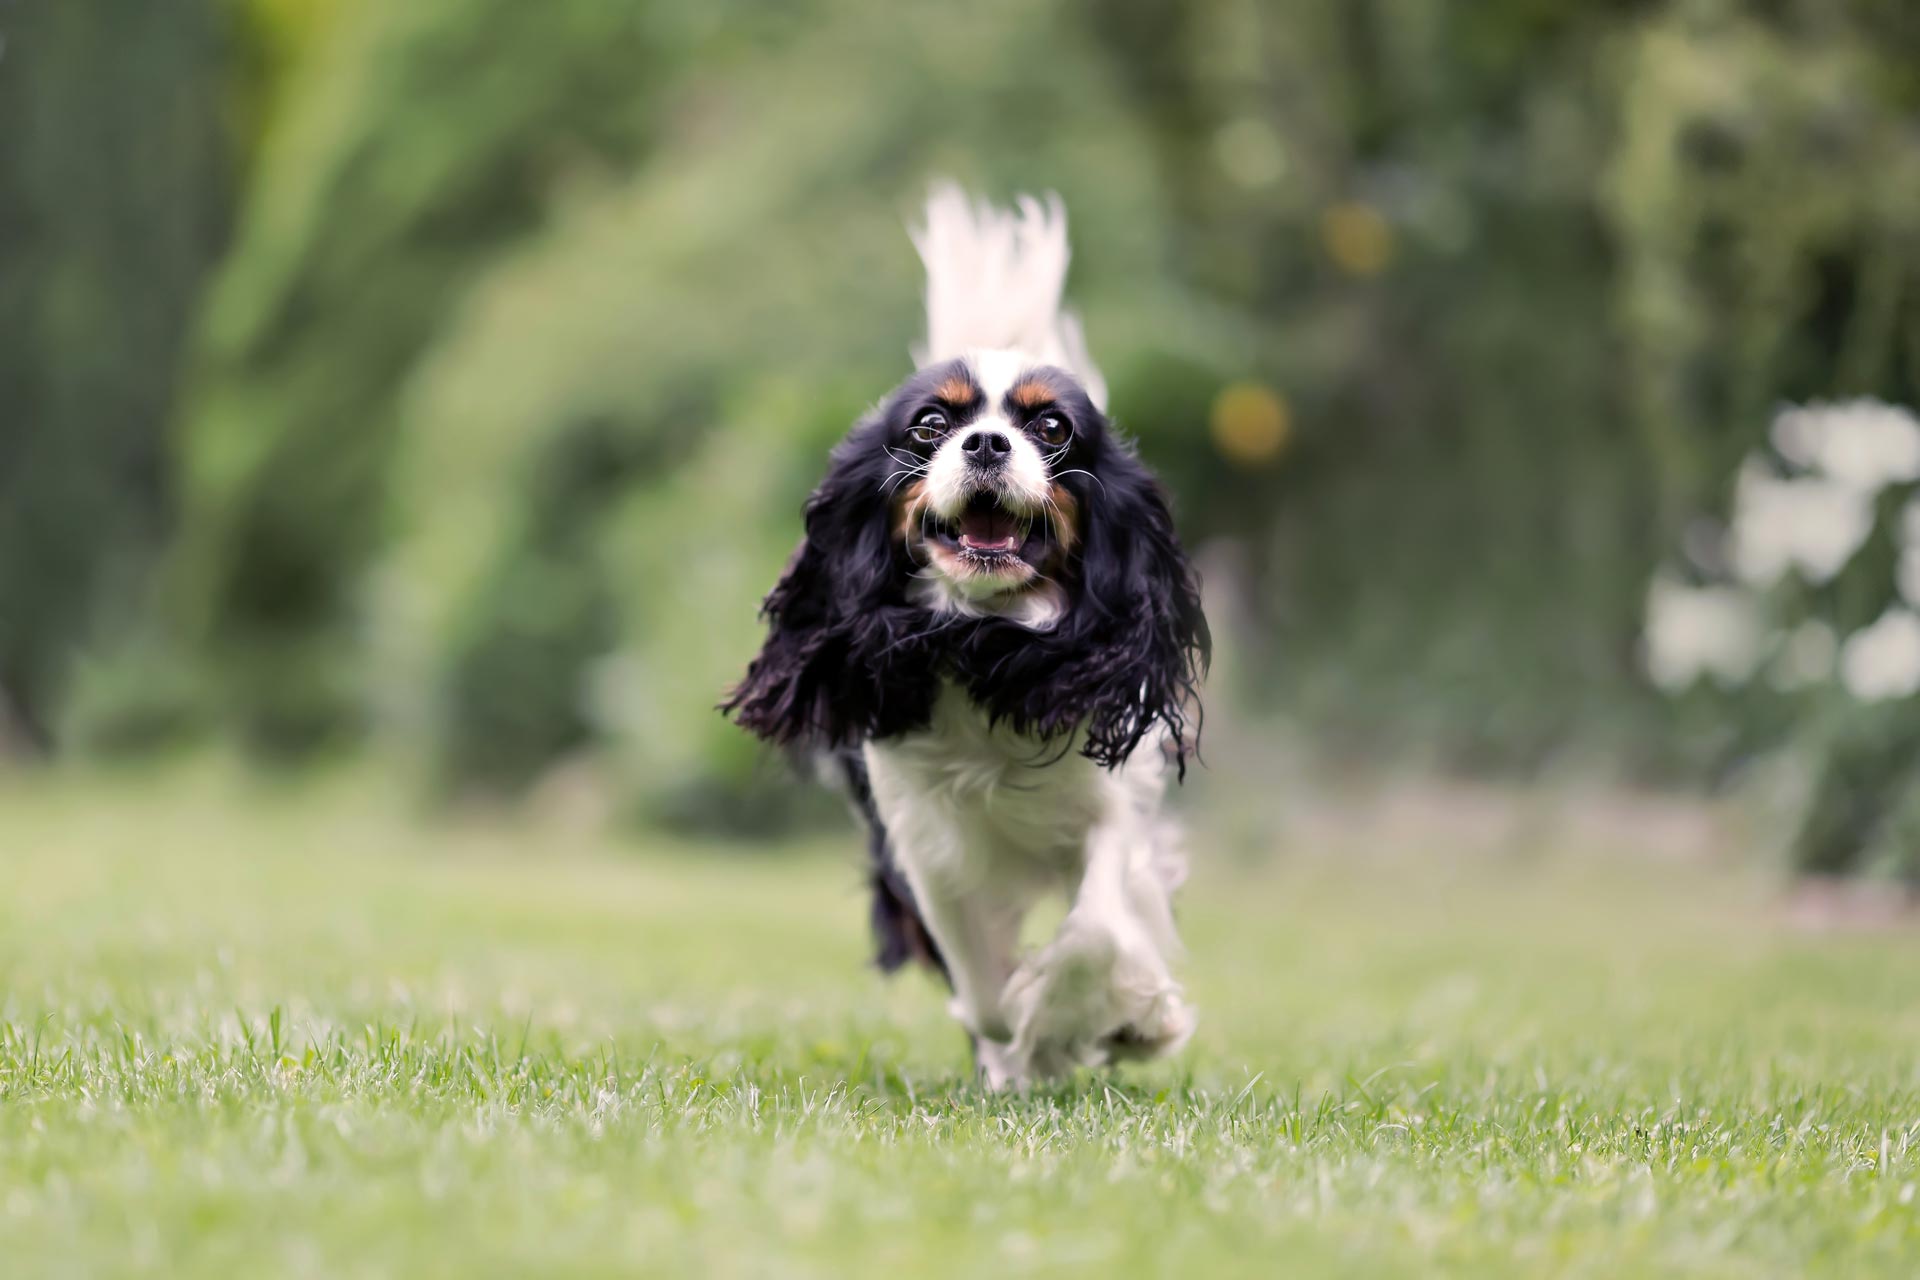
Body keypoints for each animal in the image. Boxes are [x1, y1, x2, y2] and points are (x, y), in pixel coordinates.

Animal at [725, 185, 1205, 1090]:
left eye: (1051, 429)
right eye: (927, 427)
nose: (985, 442)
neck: (987, 644)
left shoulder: (1113, 814)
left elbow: (1097, 930)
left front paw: (1119, 1020)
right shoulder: (921, 842)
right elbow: (980, 989)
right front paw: (1031, 1040)